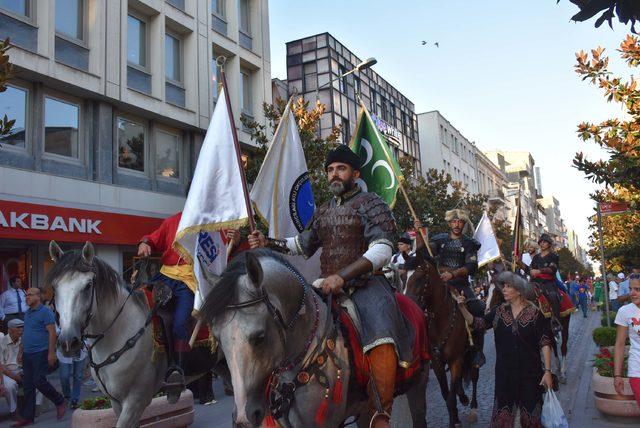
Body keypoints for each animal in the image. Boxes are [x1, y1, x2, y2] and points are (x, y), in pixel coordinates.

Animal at [45, 242, 218, 426]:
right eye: (54, 286)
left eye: (88, 285)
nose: (68, 342)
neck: (118, 333)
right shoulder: (116, 401)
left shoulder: (136, 400)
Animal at [404, 254, 480, 424]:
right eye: (403, 277)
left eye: (419, 277)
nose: (407, 304)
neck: (441, 318)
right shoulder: (438, 363)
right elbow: (446, 395)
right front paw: (455, 417)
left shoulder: (456, 360)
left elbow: (450, 397)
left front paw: (455, 421)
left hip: (473, 355)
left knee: (473, 376)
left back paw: (473, 407)